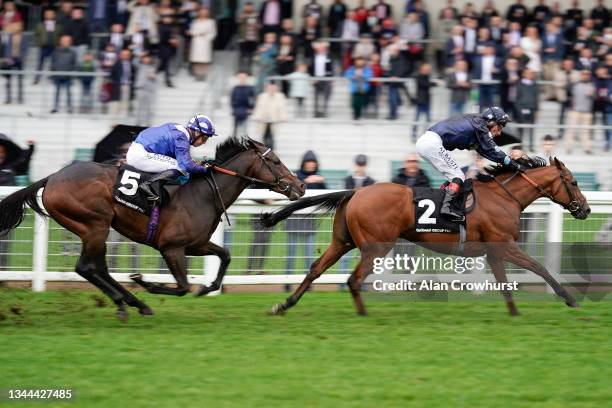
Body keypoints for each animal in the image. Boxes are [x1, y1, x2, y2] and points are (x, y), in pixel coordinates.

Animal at [0, 135, 304, 320]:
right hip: (94, 225)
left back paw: (132, 302)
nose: (300, 185)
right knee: (86, 267)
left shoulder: (196, 244)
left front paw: (207, 287)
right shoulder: (172, 248)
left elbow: (225, 256)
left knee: (98, 268)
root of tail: (51, 178)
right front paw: (148, 282)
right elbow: (181, 286)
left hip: (97, 230)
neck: (204, 193)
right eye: (274, 161)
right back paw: (129, 301)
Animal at [262, 158, 592, 318]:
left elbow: (503, 283)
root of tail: (356, 191)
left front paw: (514, 313)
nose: (586, 209)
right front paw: (570, 299)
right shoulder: (506, 246)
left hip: (343, 241)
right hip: (376, 246)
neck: (504, 196)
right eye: (574, 182)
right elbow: (539, 267)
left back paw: (285, 304)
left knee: (316, 268)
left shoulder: (495, 251)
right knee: (354, 279)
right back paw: (363, 313)